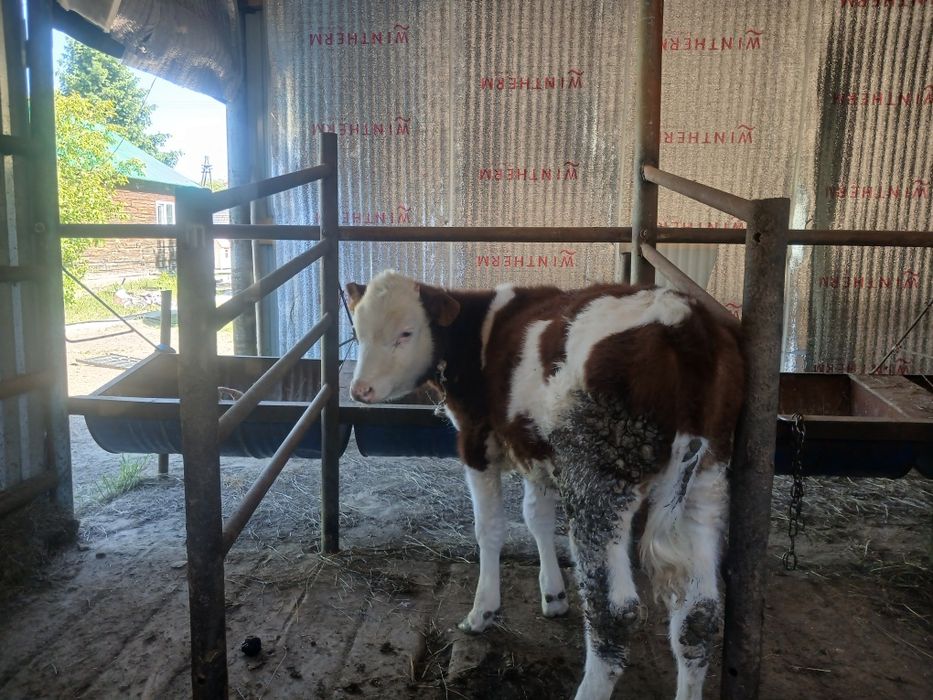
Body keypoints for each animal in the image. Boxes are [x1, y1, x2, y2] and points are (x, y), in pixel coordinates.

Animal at [345, 271, 744, 700]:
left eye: (406, 332)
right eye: (358, 331)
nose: (360, 390)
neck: (480, 330)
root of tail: (684, 320)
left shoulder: (477, 440)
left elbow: (490, 529)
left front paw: (482, 611)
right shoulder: (535, 448)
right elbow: (536, 516)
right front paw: (553, 595)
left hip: (598, 480)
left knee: (614, 614)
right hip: (707, 480)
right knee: (699, 614)